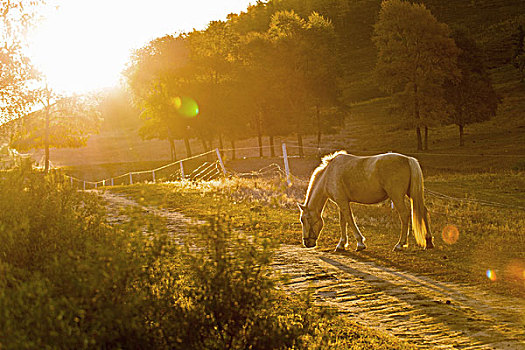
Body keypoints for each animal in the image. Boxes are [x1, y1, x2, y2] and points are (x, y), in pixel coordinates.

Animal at [298, 150, 434, 252]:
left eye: (305, 219)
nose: (307, 243)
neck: (329, 174)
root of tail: (408, 159)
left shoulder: (342, 202)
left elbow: (350, 220)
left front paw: (360, 243)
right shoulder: (342, 202)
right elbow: (343, 222)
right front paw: (341, 244)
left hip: (397, 196)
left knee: (405, 215)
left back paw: (400, 244)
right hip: (412, 194)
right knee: (423, 211)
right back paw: (428, 242)